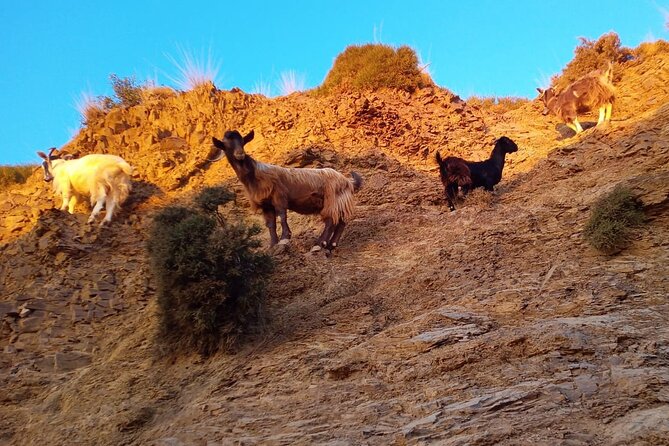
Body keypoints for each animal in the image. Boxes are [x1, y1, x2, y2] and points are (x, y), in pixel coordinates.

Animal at [210, 132, 362, 251]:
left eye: (242, 141)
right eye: (227, 145)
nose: (240, 154)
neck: (255, 174)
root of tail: (348, 181)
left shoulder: (279, 196)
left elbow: (282, 215)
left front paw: (284, 238)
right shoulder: (266, 204)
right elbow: (270, 223)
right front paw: (273, 244)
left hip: (332, 199)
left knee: (330, 221)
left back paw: (319, 245)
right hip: (340, 202)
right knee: (340, 222)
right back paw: (331, 245)